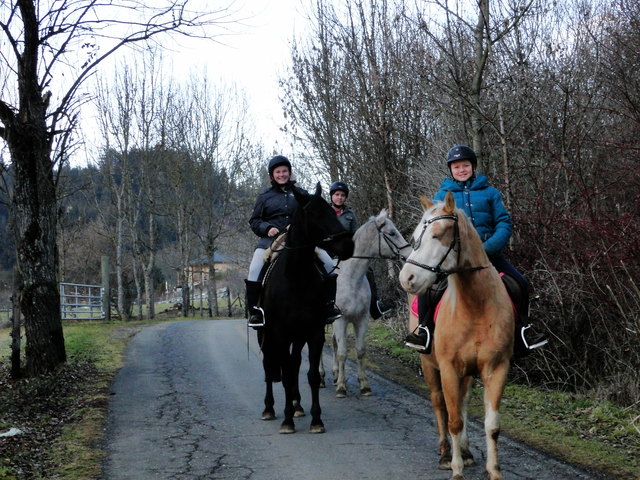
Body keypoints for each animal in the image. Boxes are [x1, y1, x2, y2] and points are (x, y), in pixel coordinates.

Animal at [256, 182, 356, 434]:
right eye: (314, 213)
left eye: (331, 210)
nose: (347, 245)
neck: (296, 278)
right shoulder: (280, 334)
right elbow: (283, 373)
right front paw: (287, 421)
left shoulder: (314, 332)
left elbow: (310, 375)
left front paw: (316, 420)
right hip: (267, 333)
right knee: (269, 366)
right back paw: (269, 409)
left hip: (298, 336)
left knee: (294, 365)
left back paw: (297, 405)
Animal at [322, 210, 412, 398]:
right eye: (392, 233)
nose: (409, 253)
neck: (351, 279)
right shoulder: (341, 320)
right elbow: (342, 353)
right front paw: (341, 387)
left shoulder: (361, 319)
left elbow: (360, 350)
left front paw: (364, 385)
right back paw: (320, 377)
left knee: (332, 343)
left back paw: (334, 374)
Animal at [400, 191, 516, 480]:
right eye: (416, 236)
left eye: (438, 234)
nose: (407, 278)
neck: (475, 307)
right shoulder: (449, 368)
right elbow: (452, 419)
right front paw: (455, 469)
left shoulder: (496, 368)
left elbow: (491, 425)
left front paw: (494, 470)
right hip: (430, 366)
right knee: (439, 404)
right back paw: (445, 453)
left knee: (462, 403)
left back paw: (465, 451)